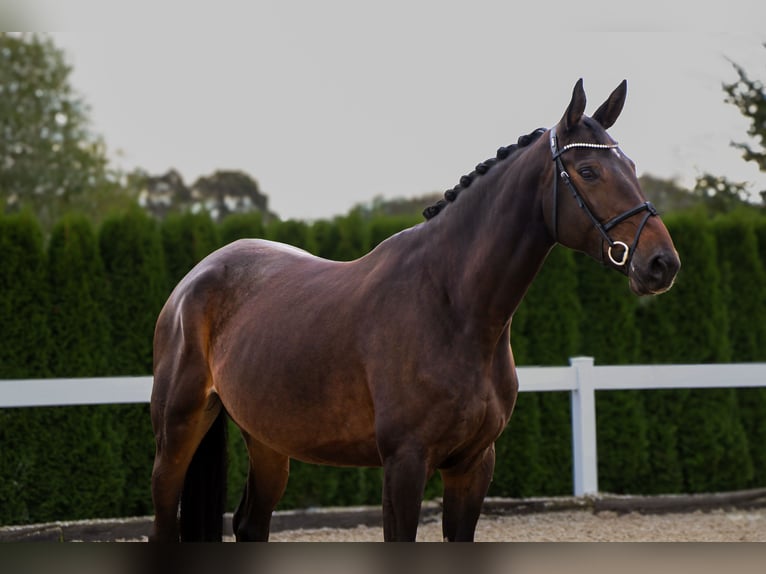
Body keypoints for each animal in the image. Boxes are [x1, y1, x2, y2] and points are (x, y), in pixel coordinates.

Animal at [150, 81, 684, 544]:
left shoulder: (473, 465)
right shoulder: (404, 464)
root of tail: (195, 279)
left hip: (267, 440)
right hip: (178, 430)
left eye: (631, 165)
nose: (661, 263)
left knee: (250, 524)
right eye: (589, 171)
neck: (453, 309)